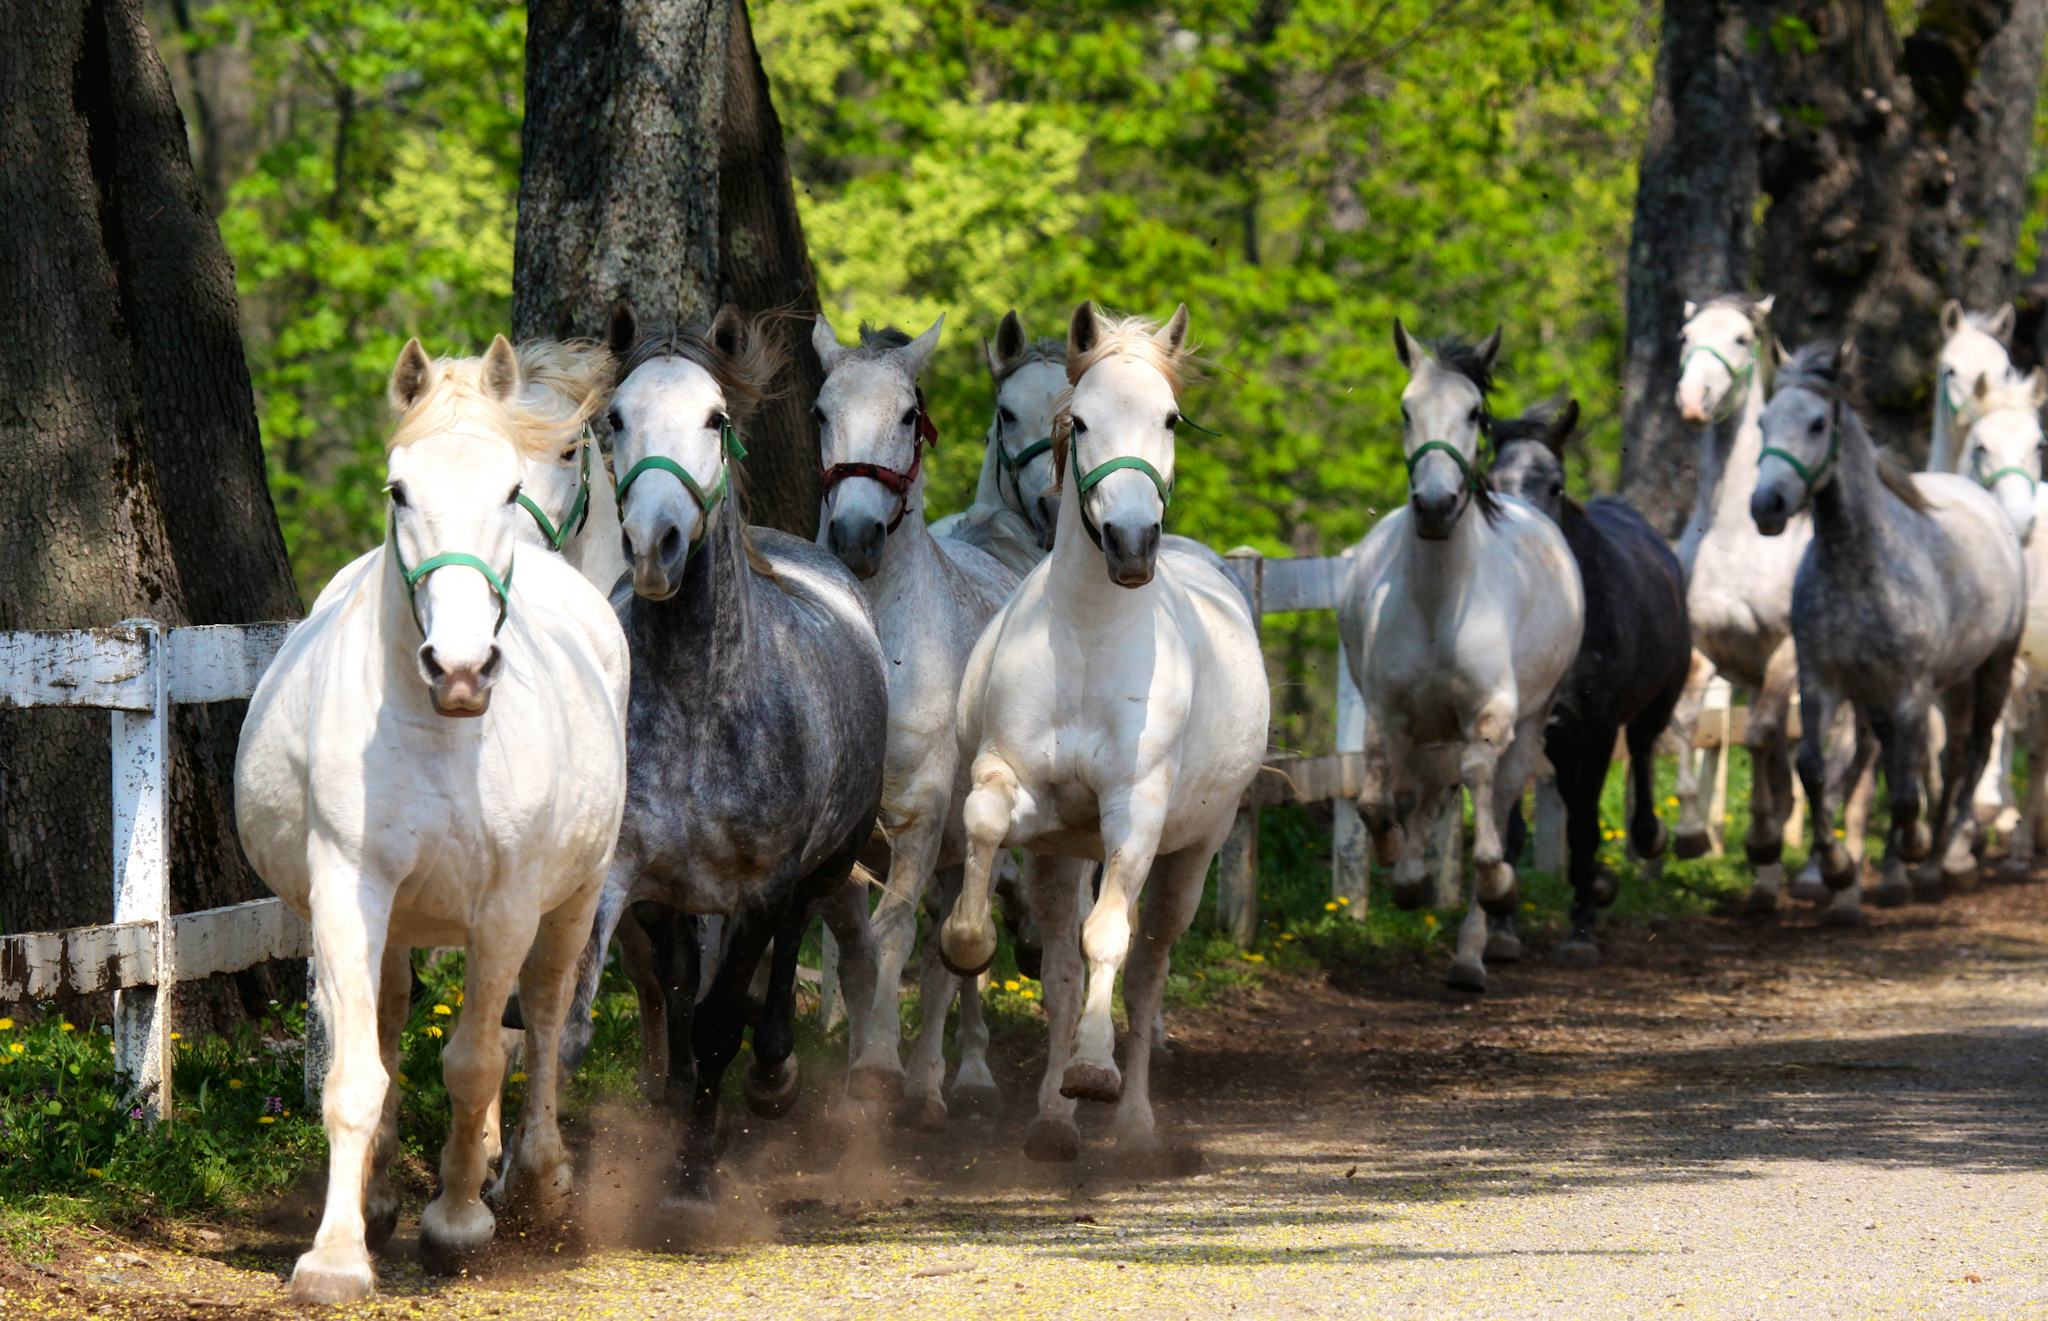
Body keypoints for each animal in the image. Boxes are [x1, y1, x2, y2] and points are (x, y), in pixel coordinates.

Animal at [236, 335, 626, 1294]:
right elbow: (358, 1073)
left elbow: (478, 1059)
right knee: (388, 1015)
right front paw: (338, 1253)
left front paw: (456, 1221)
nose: (460, 668)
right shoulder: (349, 890)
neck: (441, 732)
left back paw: (530, 1176)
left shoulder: (508, 907)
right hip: (398, 918)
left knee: (544, 1018)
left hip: (574, 896)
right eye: (398, 490)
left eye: (508, 491)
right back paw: (384, 1194)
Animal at [937, 303, 1261, 1163]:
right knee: (1059, 967)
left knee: (1147, 973)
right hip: (1062, 855)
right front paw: (969, 940)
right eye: (1078, 420)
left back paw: (1134, 1120)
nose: (1131, 543)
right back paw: (1052, 1121)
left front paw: (1093, 1071)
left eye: (1170, 417)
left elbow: (1109, 938)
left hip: (1193, 852)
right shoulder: (1019, 788)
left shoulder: (1136, 817)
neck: (1086, 639)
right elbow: (987, 825)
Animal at [1343, 321, 1581, 991]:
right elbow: (1376, 800)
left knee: (1491, 795)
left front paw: (1497, 883)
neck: (1440, 605)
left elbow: (1483, 804)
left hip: (1529, 726)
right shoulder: (1388, 714)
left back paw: (1473, 954)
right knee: (1429, 791)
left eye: (1475, 412)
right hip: (1431, 730)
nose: (1434, 505)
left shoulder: (1491, 715)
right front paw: (1404, 873)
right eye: (1406, 409)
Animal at [1490, 397, 1695, 962]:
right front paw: (1501, 926)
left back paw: (1644, 842)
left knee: (1642, 751)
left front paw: (1580, 929)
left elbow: (1583, 825)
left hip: (1654, 704)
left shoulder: (1599, 726)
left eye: (1555, 485)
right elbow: (1512, 830)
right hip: (1561, 737)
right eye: (1491, 482)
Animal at [1753, 339, 2023, 917]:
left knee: (1972, 753)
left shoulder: (1911, 690)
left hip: (1991, 669)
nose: (1766, 505)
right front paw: (1835, 870)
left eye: (1816, 423)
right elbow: (1814, 768)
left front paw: (1910, 850)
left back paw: (1938, 861)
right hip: (1914, 689)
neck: (1859, 567)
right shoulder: (1822, 682)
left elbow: (1902, 792)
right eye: (1762, 421)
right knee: (1939, 756)